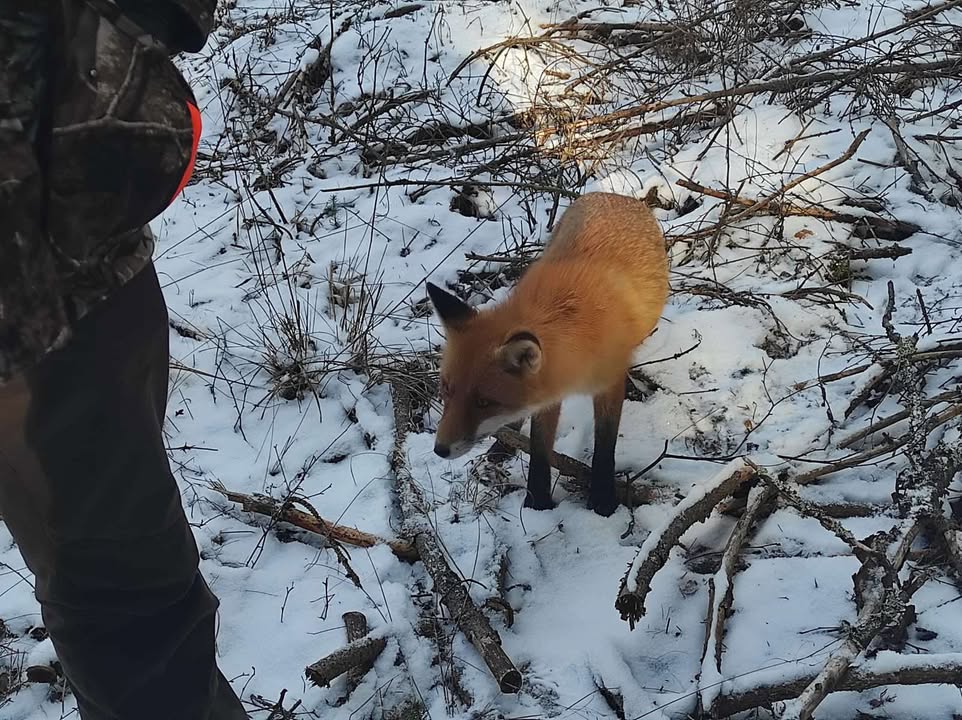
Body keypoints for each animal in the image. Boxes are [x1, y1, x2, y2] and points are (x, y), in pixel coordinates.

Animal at [424, 193, 664, 516]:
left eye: (484, 402)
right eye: (446, 390)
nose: (440, 449)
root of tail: (617, 196)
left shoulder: (609, 382)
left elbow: (605, 445)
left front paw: (603, 501)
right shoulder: (549, 393)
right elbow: (539, 446)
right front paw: (537, 503)